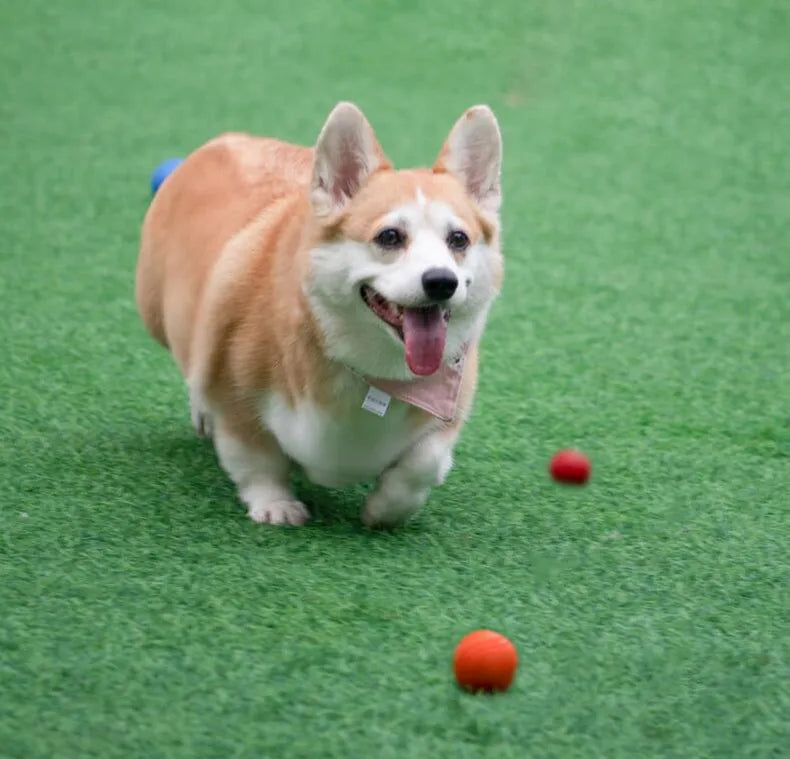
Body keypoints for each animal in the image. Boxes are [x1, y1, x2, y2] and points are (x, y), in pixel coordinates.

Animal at [137, 102, 504, 528]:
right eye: (390, 237)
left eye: (458, 239)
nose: (442, 281)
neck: (375, 374)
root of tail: (223, 141)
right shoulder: (234, 398)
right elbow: (256, 459)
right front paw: (275, 506)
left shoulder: (446, 415)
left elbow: (422, 464)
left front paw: (385, 511)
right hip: (157, 316)